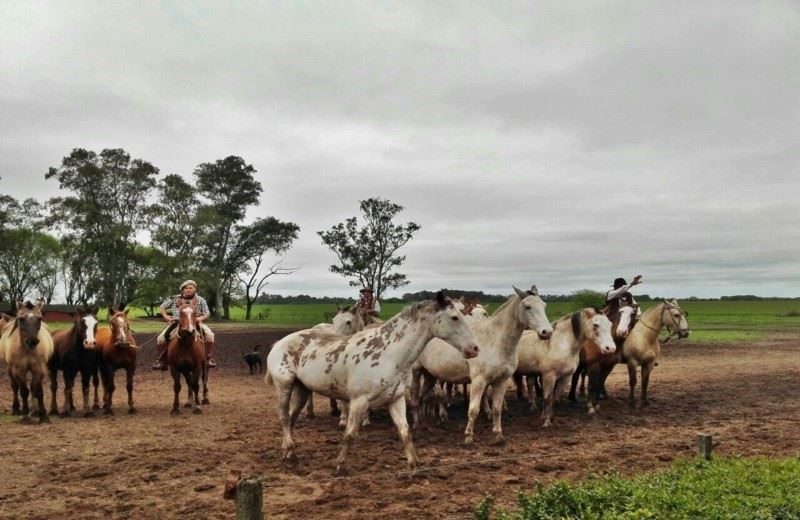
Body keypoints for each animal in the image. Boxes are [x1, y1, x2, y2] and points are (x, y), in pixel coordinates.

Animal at [268, 292, 482, 476]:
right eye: (454, 317)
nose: (475, 348)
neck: (388, 353)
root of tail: (278, 344)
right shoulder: (358, 402)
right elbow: (350, 434)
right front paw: (339, 466)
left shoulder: (396, 400)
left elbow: (405, 432)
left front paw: (414, 466)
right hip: (284, 386)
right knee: (284, 417)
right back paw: (291, 453)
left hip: (302, 389)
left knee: (292, 418)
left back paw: (287, 450)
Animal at [410, 286, 552, 444]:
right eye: (527, 306)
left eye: (544, 305)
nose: (547, 332)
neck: (496, 341)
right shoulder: (479, 381)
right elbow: (473, 410)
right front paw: (468, 437)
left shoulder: (501, 381)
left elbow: (497, 408)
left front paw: (498, 435)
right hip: (416, 372)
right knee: (415, 398)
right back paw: (416, 427)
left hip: (430, 375)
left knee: (423, 397)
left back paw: (424, 424)